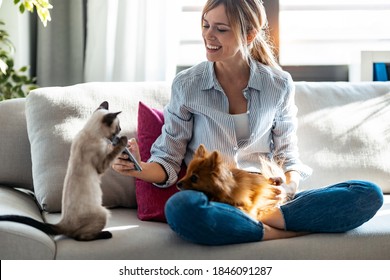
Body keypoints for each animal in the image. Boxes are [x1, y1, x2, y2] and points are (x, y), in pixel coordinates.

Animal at [0, 100, 128, 241]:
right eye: (118, 127)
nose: (121, 131)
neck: (90, 132)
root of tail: (62, 223)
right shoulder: (101, 166)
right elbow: (112, 153)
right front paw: (123, 142)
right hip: (103, 213)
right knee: (80, 237)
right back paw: (106, 234)